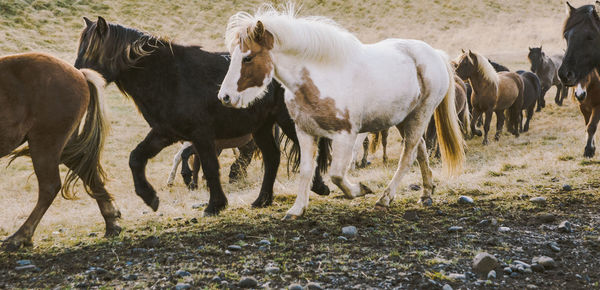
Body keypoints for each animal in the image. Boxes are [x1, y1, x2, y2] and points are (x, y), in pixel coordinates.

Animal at [0, 53, 120, 250]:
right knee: (86, 171)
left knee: (49, 187)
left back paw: (21, 236)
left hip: (45, 143)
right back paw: (112, 222)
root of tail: (79, 74)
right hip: (62, 146)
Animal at [74, 15, 332, 215]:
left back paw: (319, 186)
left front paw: (215, 205)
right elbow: (136, 157)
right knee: (272, 157)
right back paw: (262, 200)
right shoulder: (165, 133)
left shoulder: (201, 135)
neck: (169, 77)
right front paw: (150, 197)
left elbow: (208, 166)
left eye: (91, 51)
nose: (78, 77)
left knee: (309, 149)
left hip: (287, 120)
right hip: (262, 126)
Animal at [216, 5, 464, 218]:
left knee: (408, 155)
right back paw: (426, 193)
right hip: (404, 118)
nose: (225, 97)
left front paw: (360, 189)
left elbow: (336, 174)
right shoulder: (305, 132)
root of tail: (435, 54)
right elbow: (306, 170)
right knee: (420, 150)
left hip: (421, 114)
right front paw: (297, 209)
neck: (322, 77)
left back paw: (385, 199)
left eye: (247, 57)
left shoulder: (346, 135)